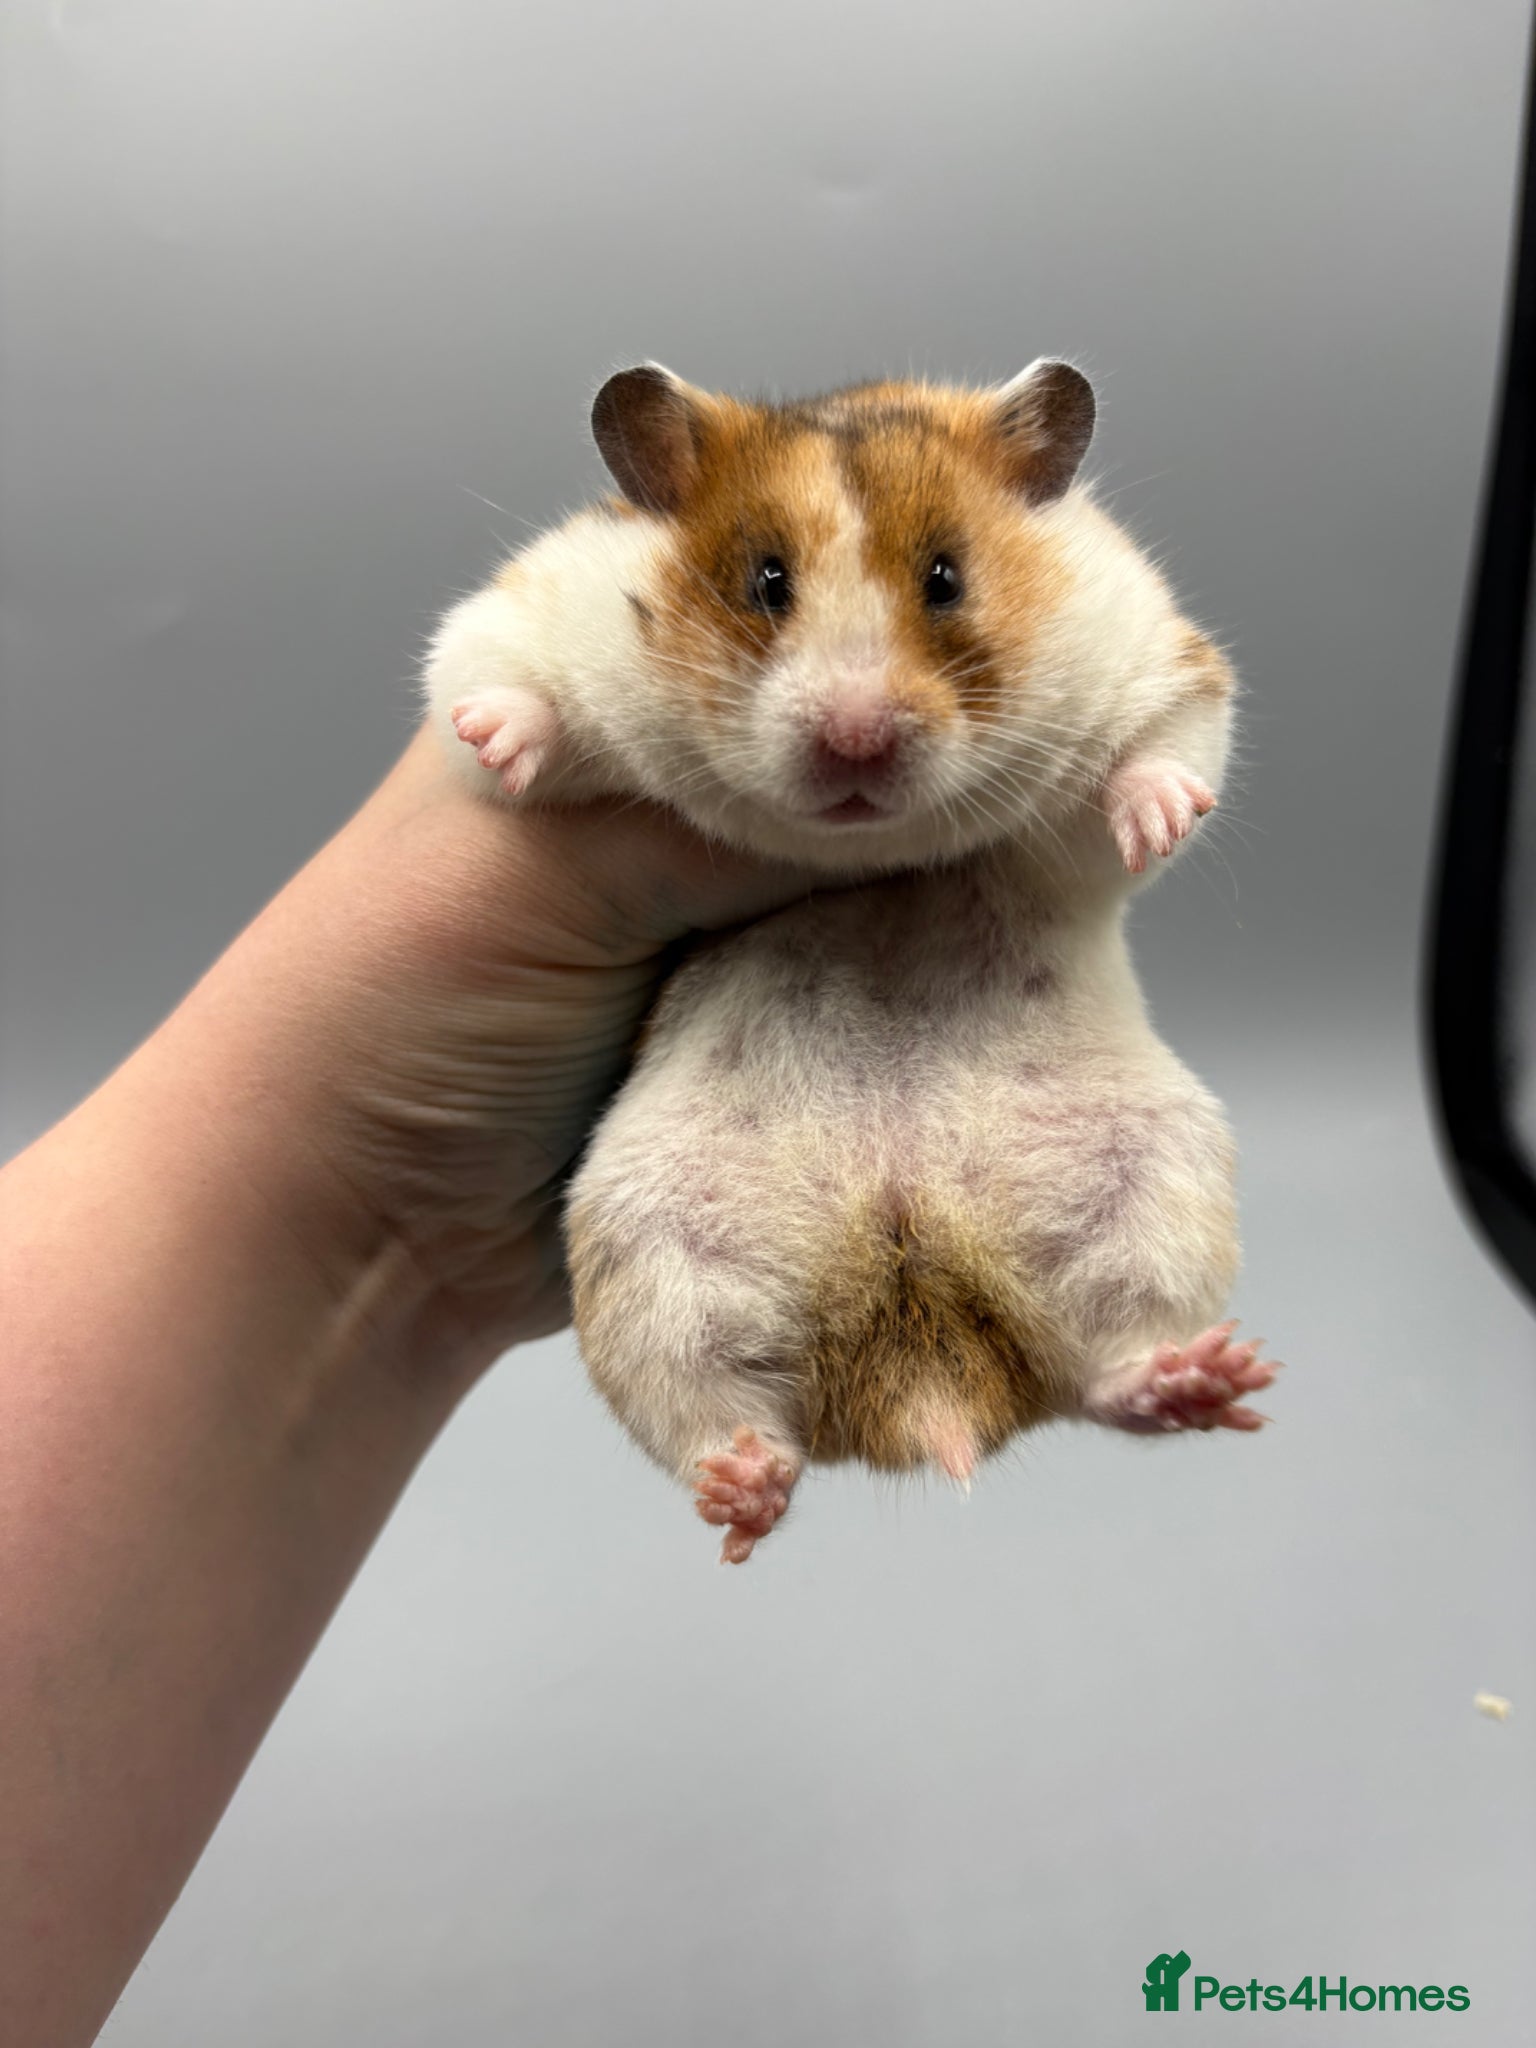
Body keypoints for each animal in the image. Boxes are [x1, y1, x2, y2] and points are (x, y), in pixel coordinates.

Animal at [424, 361, 1279, 1562]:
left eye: (946, 577)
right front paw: (498, 742)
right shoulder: (519, 610)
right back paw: (741, 1485)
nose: (857, 739)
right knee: (718, 1413)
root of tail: (926, 1374)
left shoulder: (1159, 653)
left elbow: (1163, 747)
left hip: (1156, 1175)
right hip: (647, 1251)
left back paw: (1210, 1375)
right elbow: (496, 686)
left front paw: (1158, 824)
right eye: (766, 579)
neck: (868, 856)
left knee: (1106, 1367)